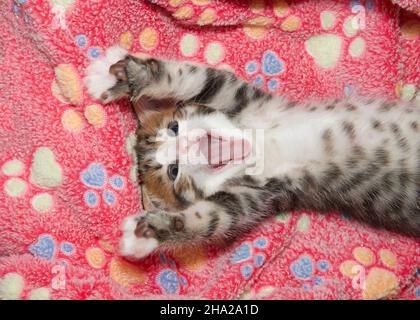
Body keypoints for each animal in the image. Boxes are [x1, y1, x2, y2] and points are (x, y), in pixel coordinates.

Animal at [85, 45, 420, 260]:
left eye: (174, 127)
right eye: (173, 171)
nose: (187, 145)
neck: (262, 143)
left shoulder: (239, 97)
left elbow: (192, 77)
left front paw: (121, 75)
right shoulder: (258, 195)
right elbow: (214, 219)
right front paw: (150, 233)